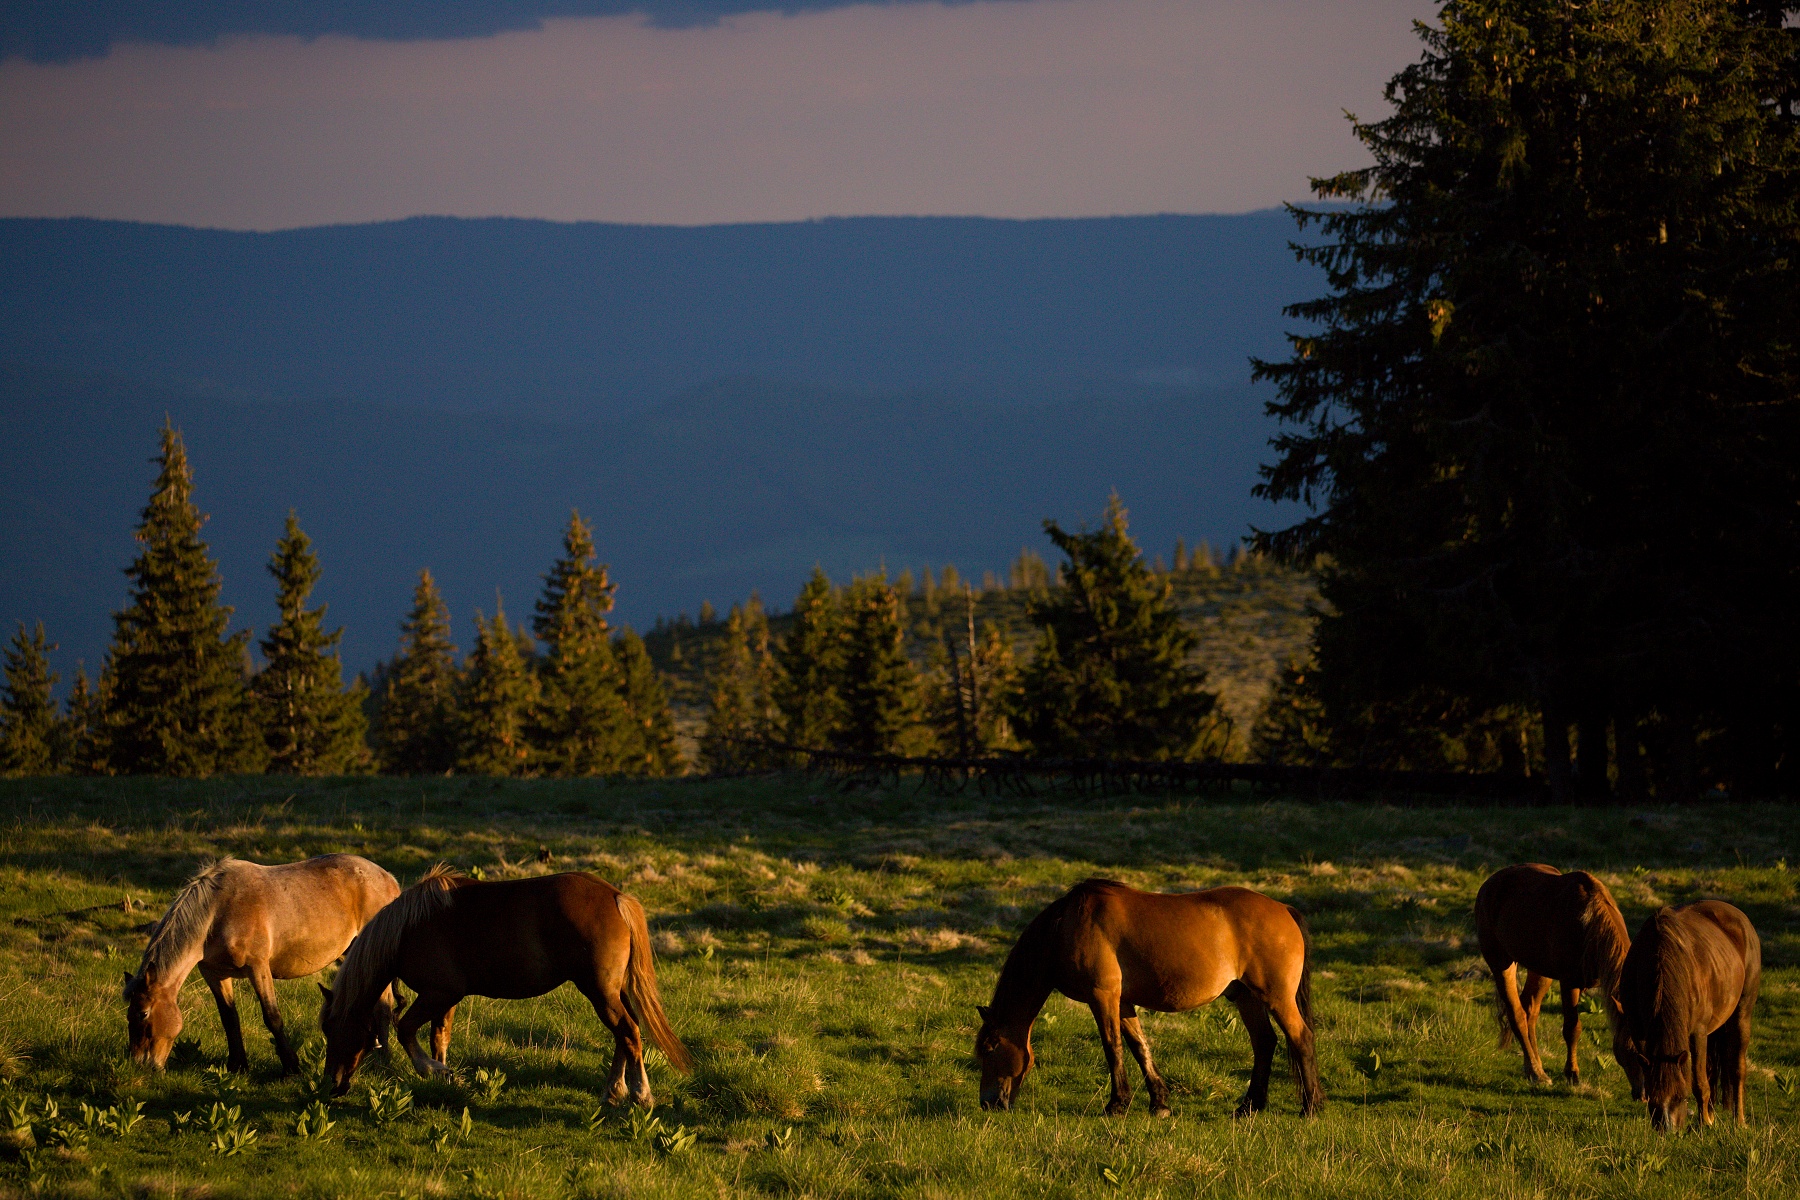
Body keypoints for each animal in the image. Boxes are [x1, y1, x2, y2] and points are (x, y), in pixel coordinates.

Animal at [124, 852, 401, 1079]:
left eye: (143, 1013)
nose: (141, 1064)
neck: (218, 911)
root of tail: (389, 879)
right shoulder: (214, 973)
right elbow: (229, 1019)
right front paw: (238, 1066)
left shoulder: (257, 968)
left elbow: (272, 1017)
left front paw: (291, 1067)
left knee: (383, 1007)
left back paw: (382, 1061)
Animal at [320, 863, 691, 1108]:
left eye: (337, 1029)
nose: (331, 1086)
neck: (408, 929)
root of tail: (615, 896)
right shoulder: (446, 998)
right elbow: (439, 1037)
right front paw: (445, 1078)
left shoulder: (437, 994)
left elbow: (406, 1030)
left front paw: (432, 1070)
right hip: (612, 992)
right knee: (625, 1034)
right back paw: (613, 1091)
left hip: (600, 992)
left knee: (628, 1032)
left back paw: (640, 1095)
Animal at [972, 877, 1324, 1122]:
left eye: (989, 1049)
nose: (987, 1103)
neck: (1066, 927)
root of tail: (1285, 910)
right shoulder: (1122, 1002)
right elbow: (1140, 1048)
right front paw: (1160, 1104)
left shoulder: (1102, 996)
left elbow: (1113, 1048)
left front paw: (1117, 1105)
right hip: (1247, 997)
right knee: (1264, 1044)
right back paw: (1249, 1107)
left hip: (1276, 997)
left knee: (1302, 1039)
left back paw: (1311, 1108)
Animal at [1476, 863, 1634, 1086]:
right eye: (1629, 1051)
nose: (1645, 1092)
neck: (1590, 925)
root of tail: (1489, 883)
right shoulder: (1569, 982)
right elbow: (1572, 1029)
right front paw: (1572, 1074)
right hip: (1501, 964)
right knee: (1517, 1014)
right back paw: (1536, 1072)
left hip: (1540, 970)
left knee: (1529, 1011)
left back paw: (1533, 1067)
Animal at [1620, 906, 1756, 1129]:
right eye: (1654, 1099)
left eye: (1680, 1096)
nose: (1667, 1129)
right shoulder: (1639, 1033)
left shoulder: (1697, 1033)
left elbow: (1699, 1082)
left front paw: (1704, 1124)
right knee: (1712, 1070)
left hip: (1742, 1014)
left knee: (1737, 1069)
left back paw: (1739, 1121)